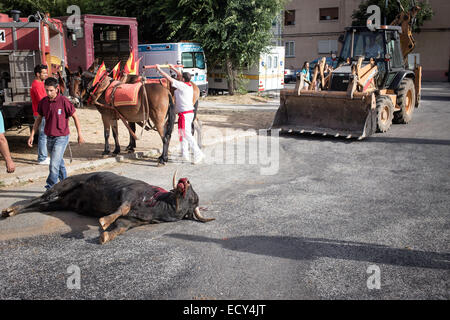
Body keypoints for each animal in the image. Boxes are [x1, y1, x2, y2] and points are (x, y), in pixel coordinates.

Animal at [0, 171, 214, 244]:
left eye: (194, 198)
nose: (185, 180)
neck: (158, 205)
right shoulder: (129, 193)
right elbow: (122, 208)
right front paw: (104, 221)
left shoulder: (132, 222)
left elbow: (120, 226)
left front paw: (105, 236)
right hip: (66, 184)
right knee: (40, 197)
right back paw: (10, 210)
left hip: (62, 202)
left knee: (42, 205)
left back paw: (12, 211)